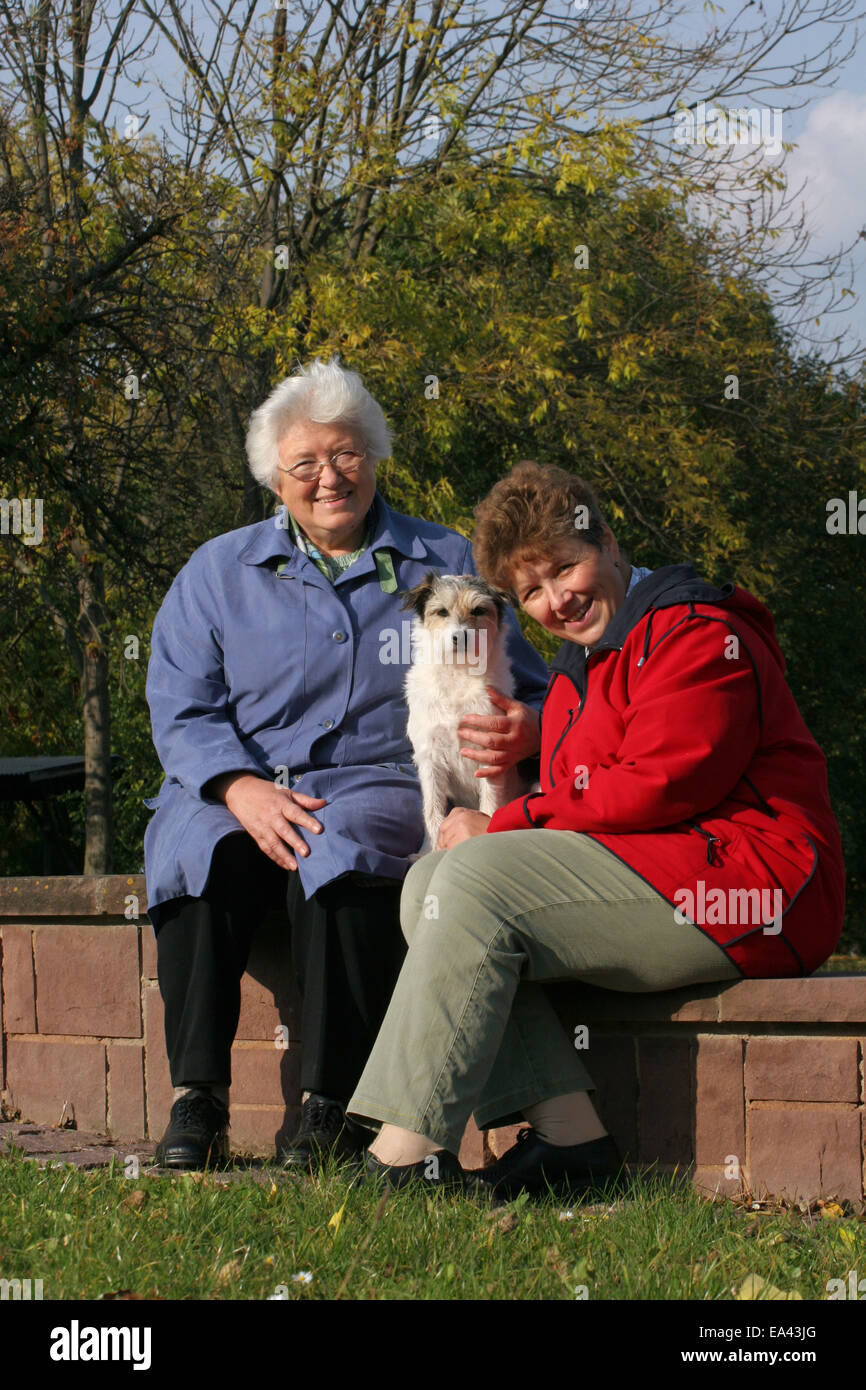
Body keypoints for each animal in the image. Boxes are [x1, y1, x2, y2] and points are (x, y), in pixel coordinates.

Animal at [403, 569, 525, 850]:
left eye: (479, 610)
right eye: (441, 611)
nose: (460, 637)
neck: (459, 672)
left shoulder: (490, 753)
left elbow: (490, 804)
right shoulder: (430, 757)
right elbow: (433, 812)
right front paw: (432, 851)